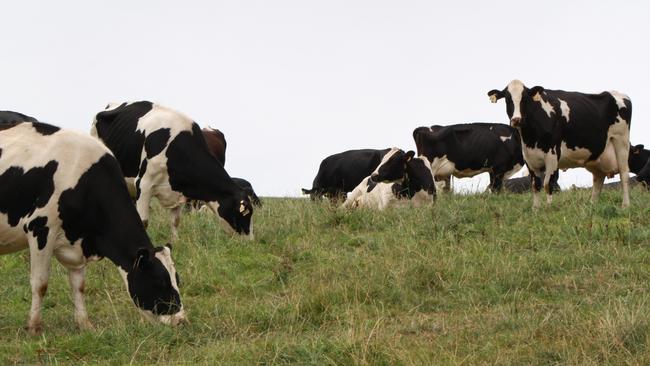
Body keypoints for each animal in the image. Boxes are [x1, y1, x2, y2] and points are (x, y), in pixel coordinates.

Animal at [0, 113, 185, 336]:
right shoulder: (40, 229)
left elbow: (79, 285)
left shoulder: (77, 242)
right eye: (160, 281)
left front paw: (84, 324)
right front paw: (34, 327)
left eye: (177, 279)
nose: (181, 320)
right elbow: (40, 283)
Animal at [91, 101, 253, 242]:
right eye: (246, 214)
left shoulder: (179, 190)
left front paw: (176, 241)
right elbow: (143, 222)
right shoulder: (143, 184)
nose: (251, 242)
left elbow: (176, 220)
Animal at [488, 80, 632, 209]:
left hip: (621, 141)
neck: (530, 138)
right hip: (596, 154)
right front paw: (535, 209)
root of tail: (618, 94)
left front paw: (549, 208)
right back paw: (592, 206)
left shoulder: (552, 154)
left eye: (525, 99)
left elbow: (547, 184)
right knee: (598, 178)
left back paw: (625, 205)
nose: (516, 119)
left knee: (624, 174)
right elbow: (535, 185)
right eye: (507, 99)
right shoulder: (529, 158)